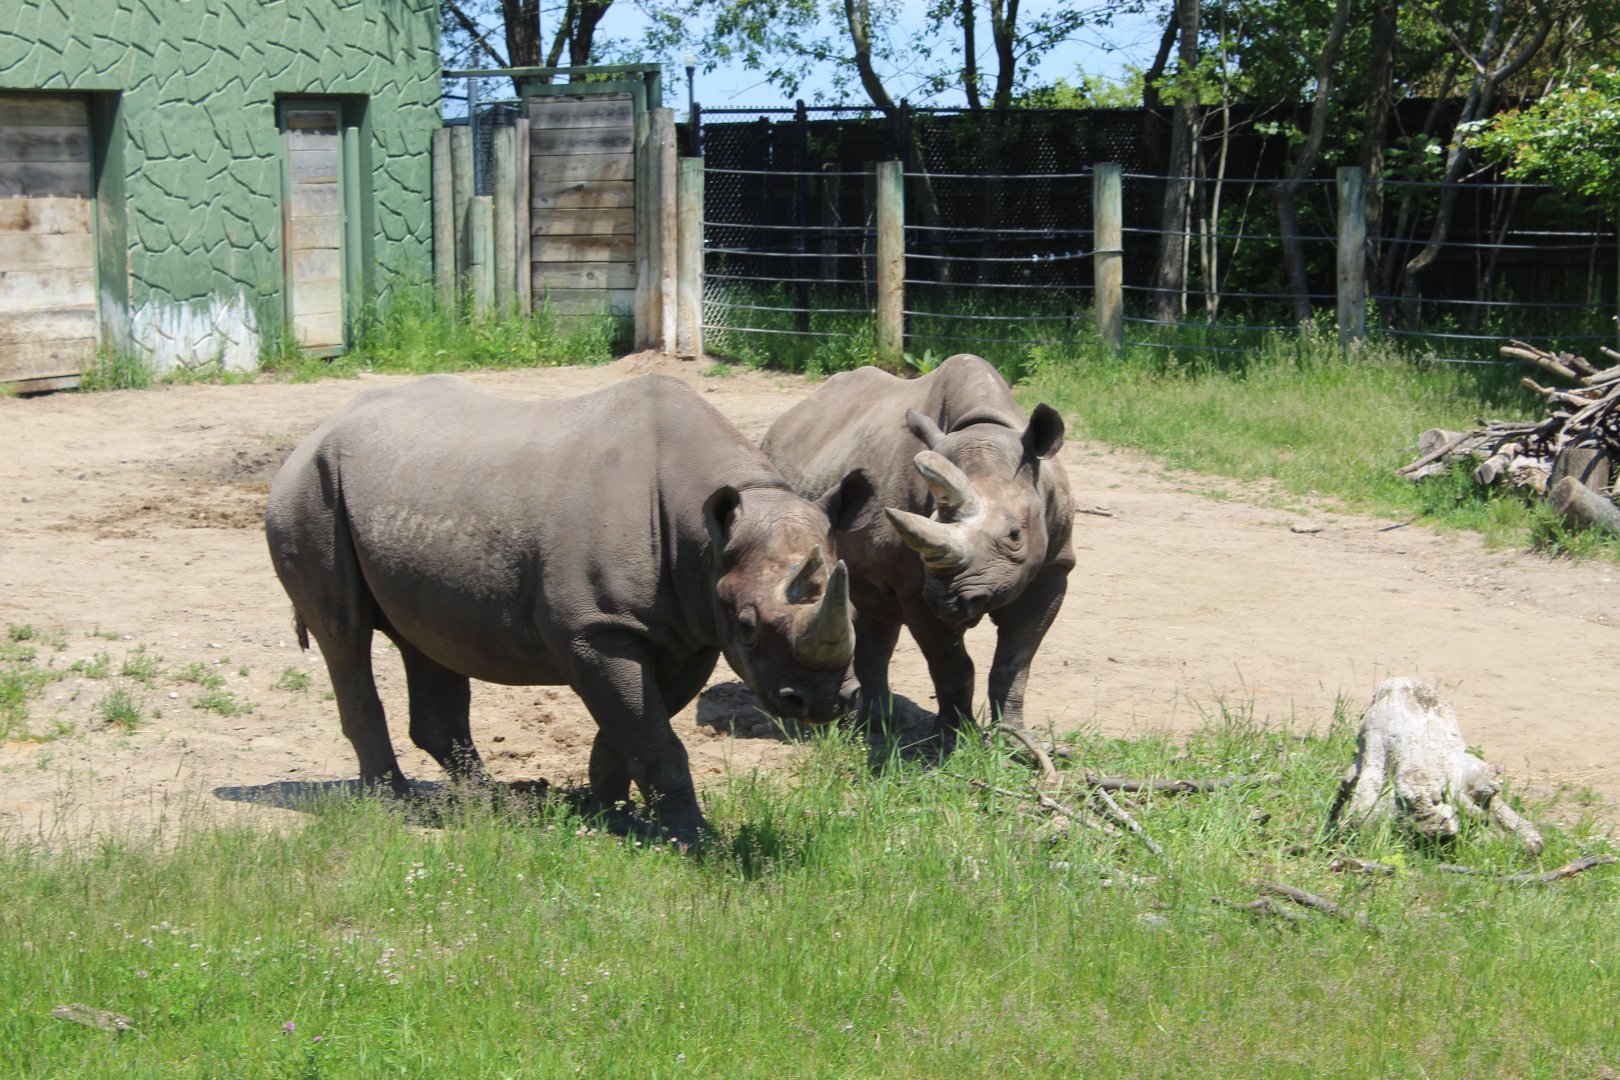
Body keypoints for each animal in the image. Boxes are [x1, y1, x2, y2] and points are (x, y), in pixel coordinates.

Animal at [264, 374, 871, 844]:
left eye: (854, 615)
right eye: (747, 626)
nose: (821, 703)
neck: (704, 536)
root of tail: (315, 431)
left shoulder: (686, 628)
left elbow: (632, 729)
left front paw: (614, 820)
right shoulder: (596, 627)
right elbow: (651, 734)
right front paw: (694, 840)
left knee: (428, 638)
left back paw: (489, 804)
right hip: (309, 489)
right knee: (344, 634)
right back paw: (394, 803)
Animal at [761, 353, 1073, 748]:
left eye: (1016, 534)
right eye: (932, 520)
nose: (951, 602)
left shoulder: (1055, 566)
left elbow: (1015, 660)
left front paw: (1014, 739)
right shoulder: (915, 587)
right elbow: (951, 665)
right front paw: (952, 742)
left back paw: (877, 723)